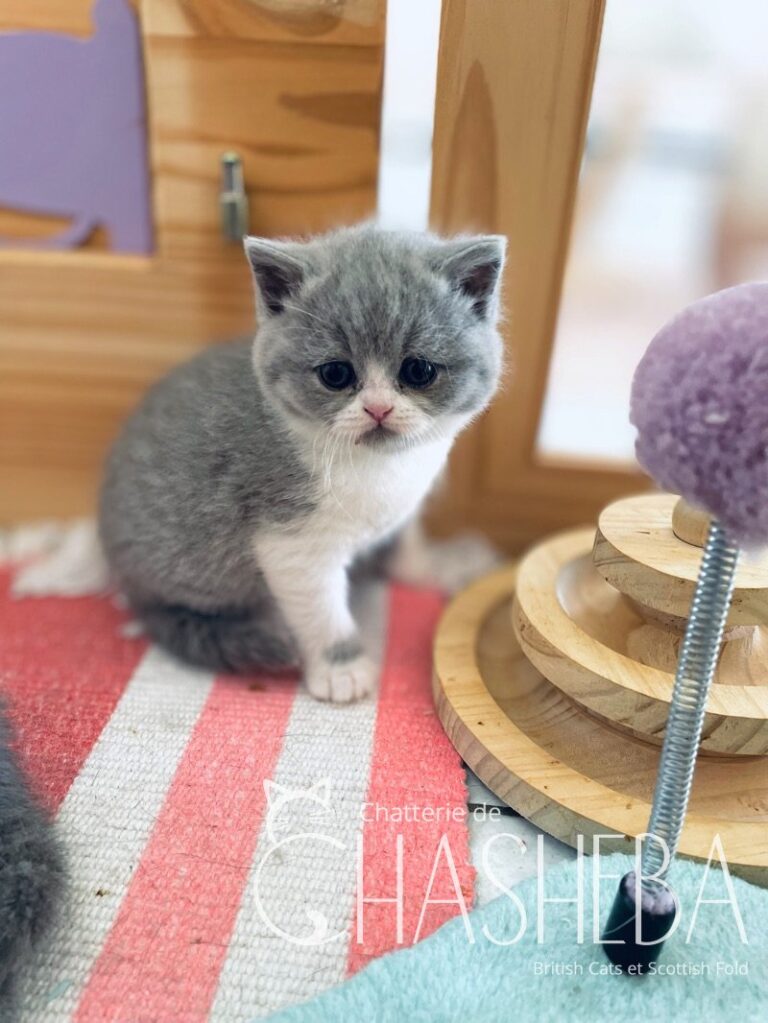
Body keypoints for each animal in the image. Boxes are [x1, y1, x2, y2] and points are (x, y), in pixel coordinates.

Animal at [99, 225, 507, 703]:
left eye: (418, 370)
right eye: (336, 374)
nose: (379, 409)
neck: (378, 469)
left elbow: (406, 541)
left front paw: (437, 566)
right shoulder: (291, 540)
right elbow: (322, 611)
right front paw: (341, 669)